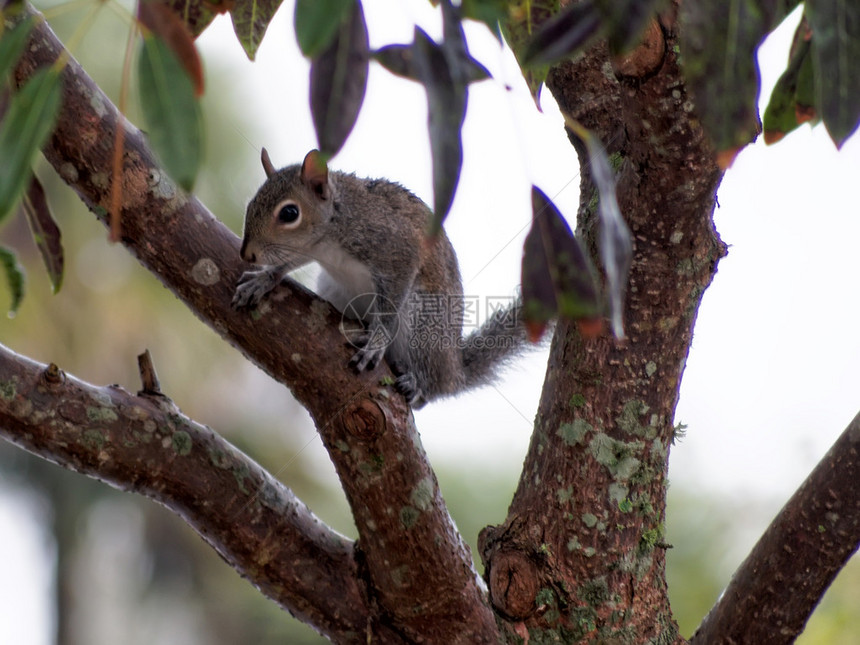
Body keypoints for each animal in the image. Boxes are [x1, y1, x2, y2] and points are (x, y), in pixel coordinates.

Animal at [233, 148, 524, 406]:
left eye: (289, 213)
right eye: (251, 204)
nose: (247, 253)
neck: (335, 224)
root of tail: (455, 372)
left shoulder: (395, 248)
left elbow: (393, 296)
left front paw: (377, 341)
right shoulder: (308, 249)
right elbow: (286, 263)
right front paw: (263, 280)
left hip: (424, 325)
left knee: (430, 384)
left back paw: (417, 383)